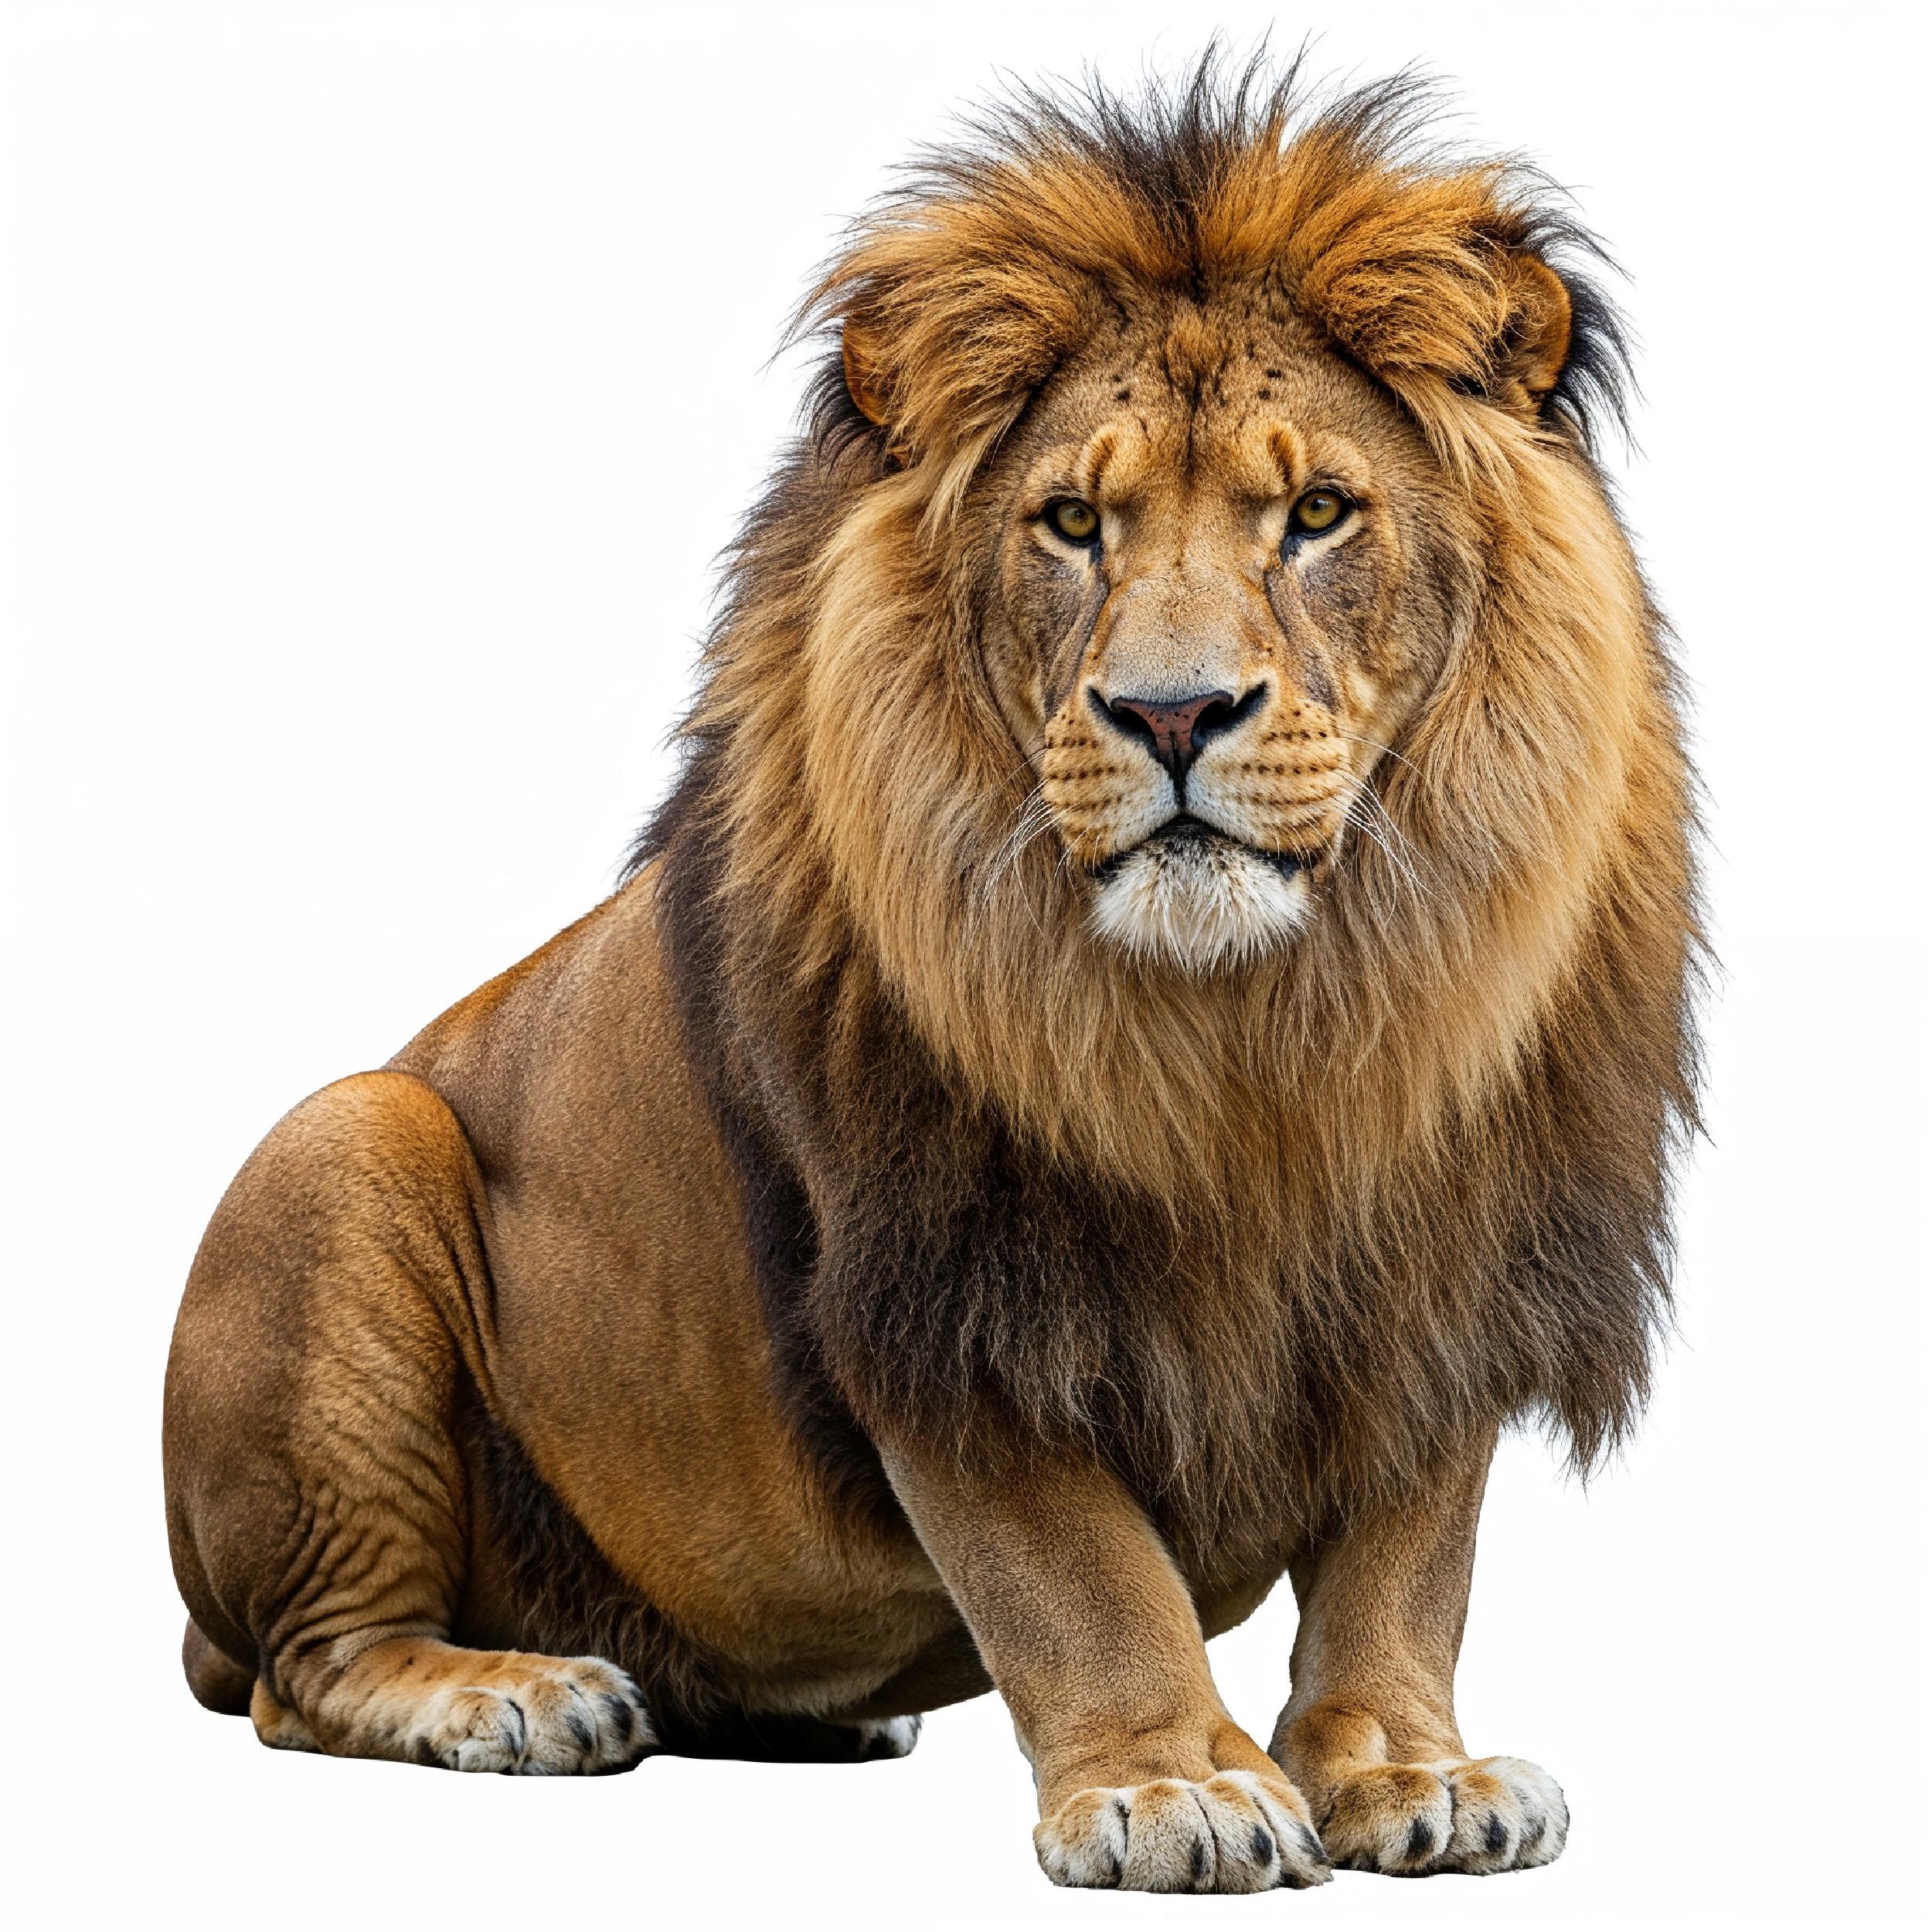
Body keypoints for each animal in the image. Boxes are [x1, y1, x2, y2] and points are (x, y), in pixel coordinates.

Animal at [163, 56, 1699, 1892]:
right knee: (302, 1666)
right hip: (348, 1140)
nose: (1172, 713)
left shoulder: (1458, 1251)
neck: (1267, 1032)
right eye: (1073, 524)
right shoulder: (940, 1271)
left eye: (1318, 514)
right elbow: (1073, 1567)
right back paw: (514, 1691)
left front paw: (1405, 1765)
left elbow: (1410, 1553)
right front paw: (1170, 1786)